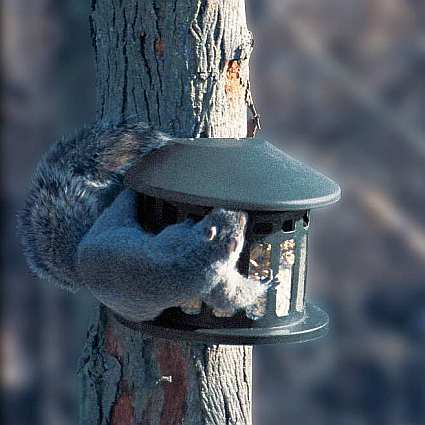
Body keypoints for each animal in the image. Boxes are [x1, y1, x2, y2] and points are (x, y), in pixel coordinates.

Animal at [18, 121, 266, 322]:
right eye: (239, 232)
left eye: (216, 216)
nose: (242, 214)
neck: (201, 253)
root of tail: (78, 261)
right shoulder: (214, 281)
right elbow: (231, 297)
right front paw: (265, 285)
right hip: (115, 220)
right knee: (123, 202)